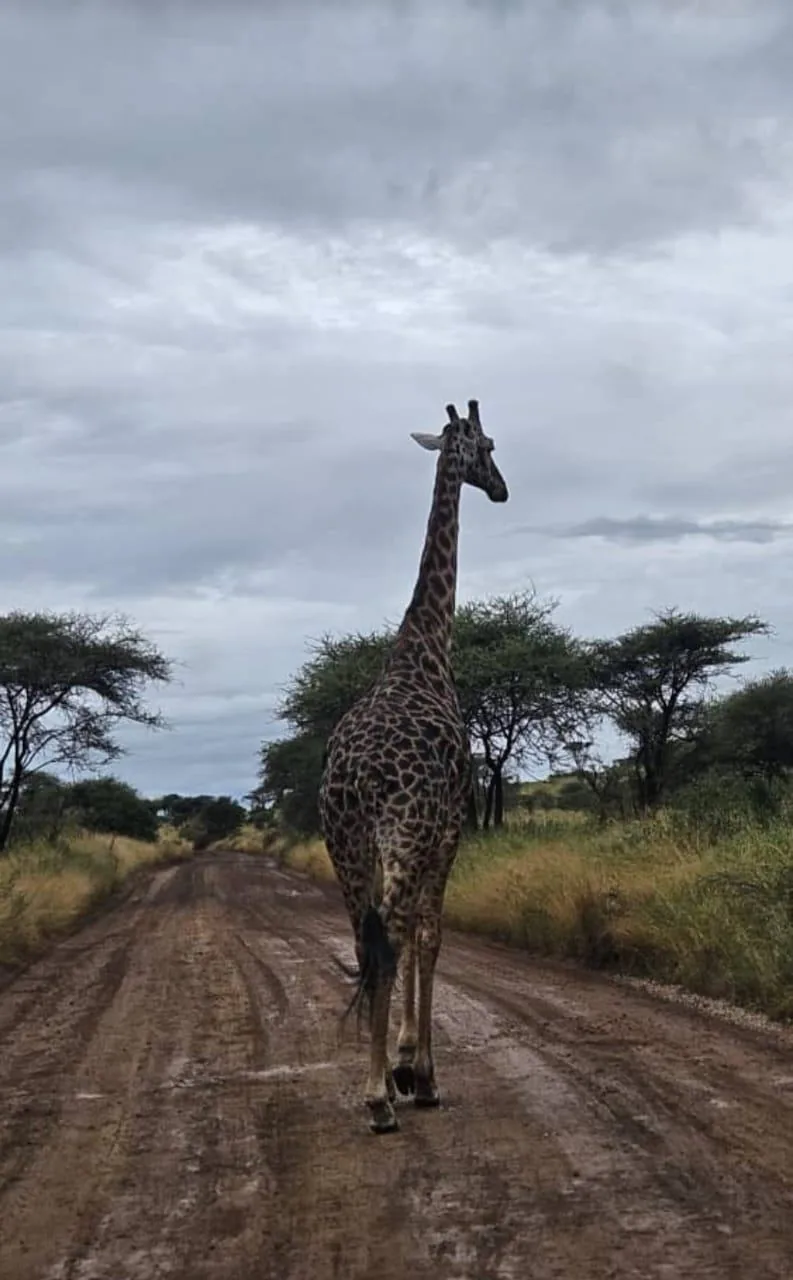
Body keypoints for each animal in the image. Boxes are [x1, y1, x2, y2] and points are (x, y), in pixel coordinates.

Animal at [318, 398, 509, 1134]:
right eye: (489, 446)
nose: (501, 488)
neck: (425, 649)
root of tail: (358, 777)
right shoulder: (450, 830)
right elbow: (431, 937)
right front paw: (416, 1071)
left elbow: (400, 943)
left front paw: (402, 1063)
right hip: (404, 835)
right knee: (395, 933)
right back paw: (380, 1100)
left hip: (345, 844)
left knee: (366, 938)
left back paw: (378, 1089)